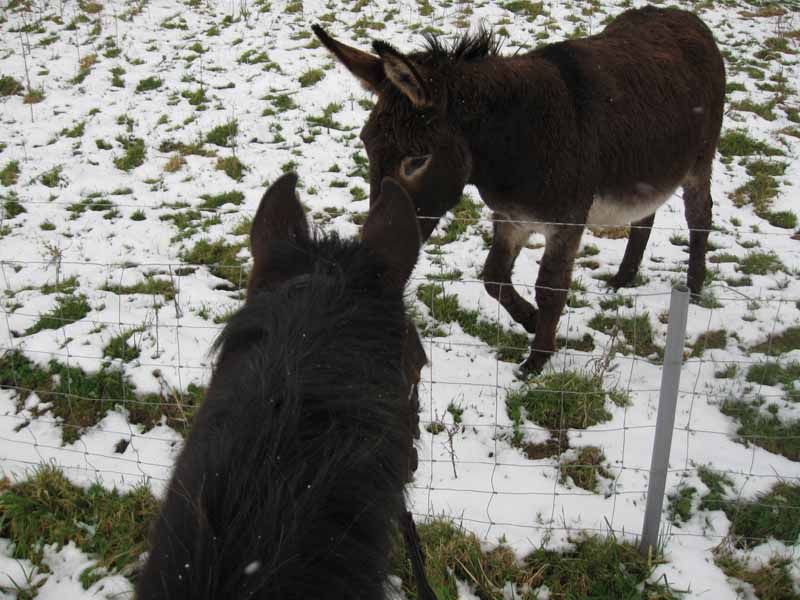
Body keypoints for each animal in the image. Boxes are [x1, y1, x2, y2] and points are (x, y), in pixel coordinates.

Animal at [312, 5, 725, 375]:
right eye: (366, 146)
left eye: (416, 160)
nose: (373, 254)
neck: (514, 141)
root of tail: (685, 17)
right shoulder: (511, 216)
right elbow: (494, 276)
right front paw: (529, 318)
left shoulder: (566, 223)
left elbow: (550, 288)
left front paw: (537, 359)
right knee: (644, 216)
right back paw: (623, 279)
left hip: (699, 161)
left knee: (699, 216)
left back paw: (695, 287)